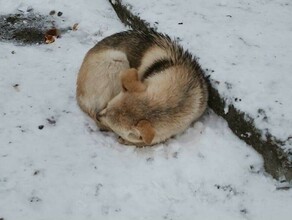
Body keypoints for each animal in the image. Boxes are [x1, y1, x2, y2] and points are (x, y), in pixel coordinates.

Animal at [75, 29, 208, 146]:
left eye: (109, 120)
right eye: (107, 107)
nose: (98, 116)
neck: (183, 95)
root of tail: (79, 95)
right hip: (118, 59)